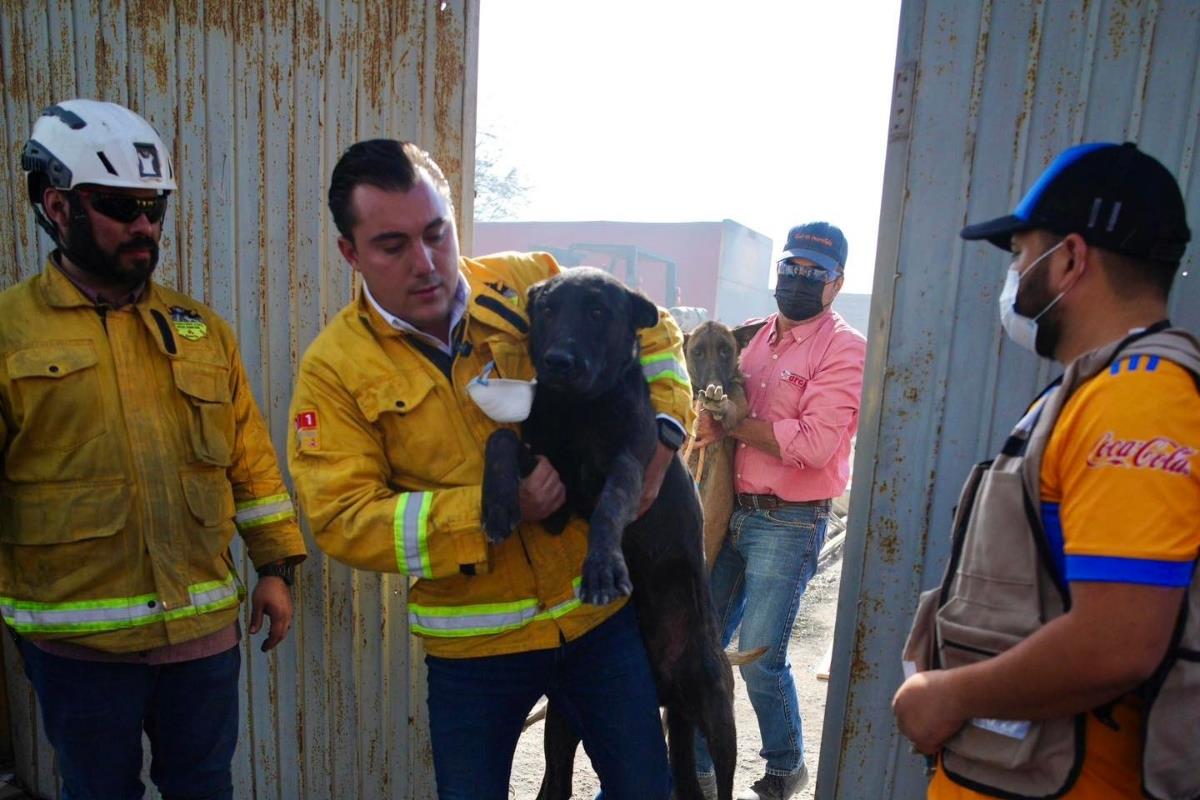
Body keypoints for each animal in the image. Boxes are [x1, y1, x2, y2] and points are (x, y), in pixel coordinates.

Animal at [482, 268, 734, 800]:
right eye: (547, 310)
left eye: (598, 311)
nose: (558, 362)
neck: (578, 411)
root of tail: (666, 687)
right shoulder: (550, 487)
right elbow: (502, 439)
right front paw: (497, 503)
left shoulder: (629, 469)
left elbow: (608, 508)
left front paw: (601, 568)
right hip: (568, 721)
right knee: (557, 784)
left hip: (718, 717)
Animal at [686, 319, 768, 568]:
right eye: (697, 352)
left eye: (725, 351)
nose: (712, 387)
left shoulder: (738, 399)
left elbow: (733, 403)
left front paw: (721, 406)